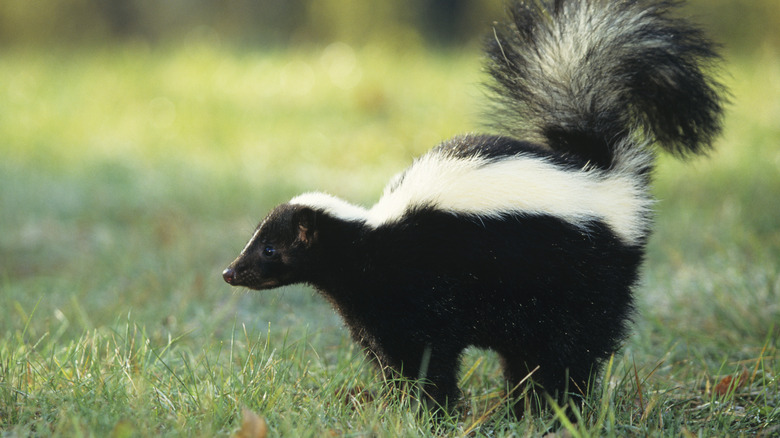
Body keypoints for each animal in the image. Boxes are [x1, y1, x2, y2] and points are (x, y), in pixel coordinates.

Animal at [222, 0, 724, 414]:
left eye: (270, 249)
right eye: (255, 242)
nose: (230, 272)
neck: (369, 240)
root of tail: (599, 173)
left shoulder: (419, 292)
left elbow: (428, 357)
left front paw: (431, 410)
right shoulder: (374, 312)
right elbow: (391, 358)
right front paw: (398, 406)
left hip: (582, 279)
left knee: (571, 349)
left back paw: (555, 408)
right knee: (530, 355)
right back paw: (523, 406)